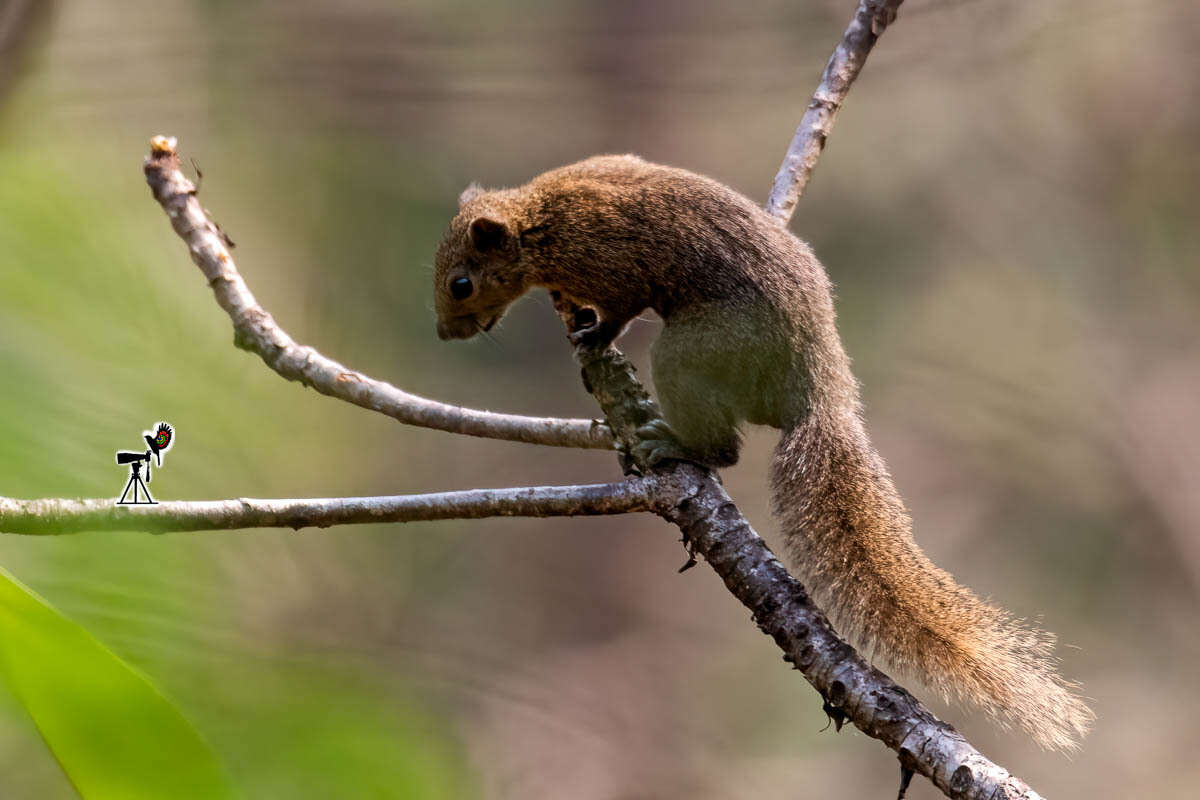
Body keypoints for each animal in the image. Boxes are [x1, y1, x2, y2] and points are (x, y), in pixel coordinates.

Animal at [434, 154, 1099, 753]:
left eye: (461, 283)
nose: (445, 334)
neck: (538, 218)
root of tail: (815, 390)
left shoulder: (606, 259)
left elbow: (620, 306)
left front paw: (594, 332)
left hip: (693, 352)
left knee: (724, 448)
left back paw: (669, 441)